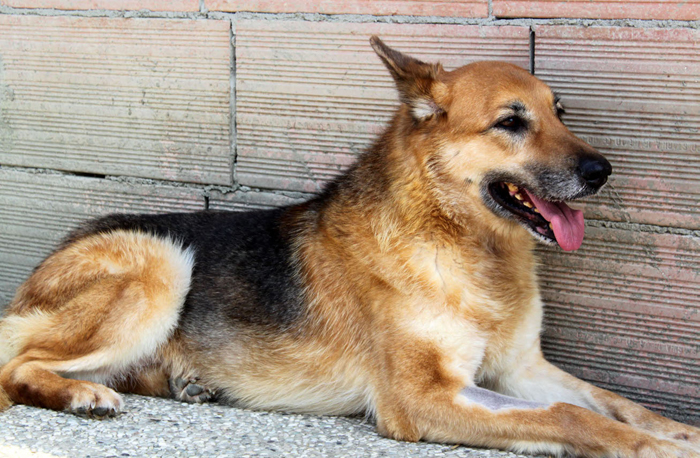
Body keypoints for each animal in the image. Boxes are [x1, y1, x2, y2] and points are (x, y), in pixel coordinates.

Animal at [1, 36, 700, 458]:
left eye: (561, 112)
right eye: (511, 122)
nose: (602, 171)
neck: (461, 243)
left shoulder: (522, 369)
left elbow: (617, 403)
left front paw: (679, 430)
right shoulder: (422, 398)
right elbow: (568, 415)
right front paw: (663, 449)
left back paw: (181, 383)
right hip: (162, 260)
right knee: (19, 366)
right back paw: (80, 395)